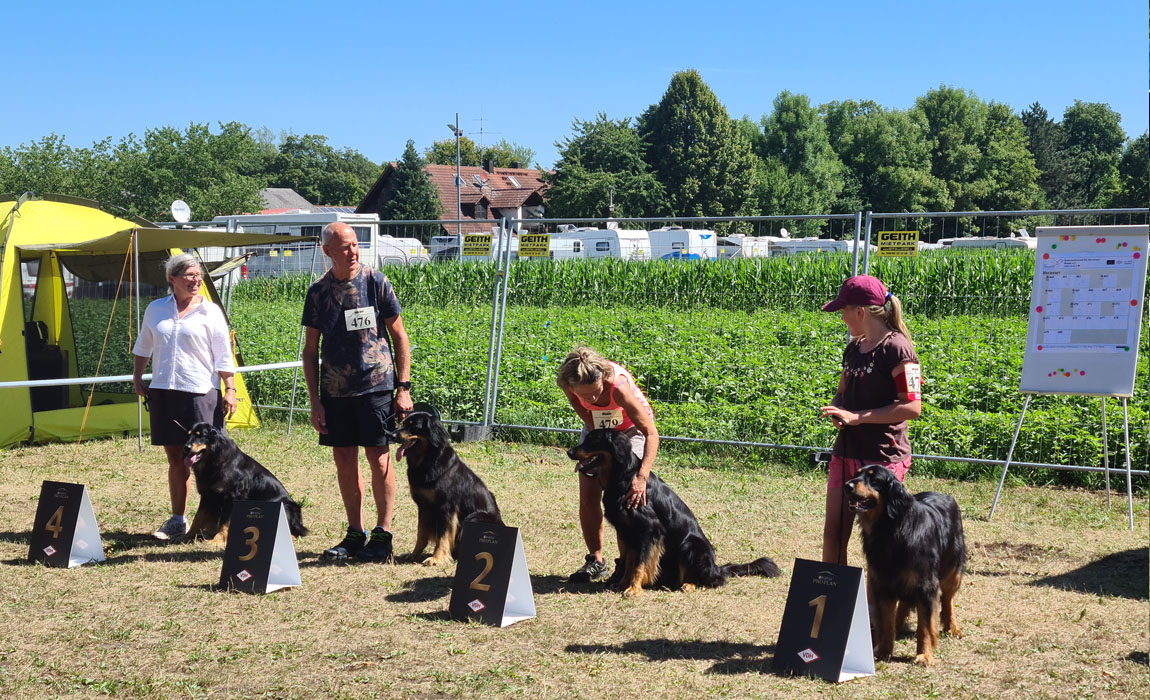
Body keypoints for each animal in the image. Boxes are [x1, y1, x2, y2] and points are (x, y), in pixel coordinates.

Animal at [180, 420, 308, 540]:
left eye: (201, 435)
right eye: (189, 434)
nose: (186, 447)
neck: (214, 459)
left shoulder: (231, 496)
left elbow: (225, 522)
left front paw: (217, 541)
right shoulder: (207, 494)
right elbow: (198, 517)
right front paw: (187, 536)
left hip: (285, 507)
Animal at [391, 411, 503, 565]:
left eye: (413, 426)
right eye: (403, 423)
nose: (391, 435)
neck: (428, 460)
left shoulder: (446, 507)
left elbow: (442, 536)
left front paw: (437, 558)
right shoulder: (423, 506)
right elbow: (421, 534)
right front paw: (413, 555)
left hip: (474, 517)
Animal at [568, 425, 782, 593]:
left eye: (592, 440)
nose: (569, 452)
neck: (623, 476)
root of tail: (718, 567)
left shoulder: (650, 530)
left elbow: (640, 563)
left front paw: (634, 589)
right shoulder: (627, 531)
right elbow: (629, 561)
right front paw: (622, 584)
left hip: (689, 546)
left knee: (713, 580)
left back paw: (690, 584)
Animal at [841, 464, 966, 666]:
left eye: (874, 479)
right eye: (856, 474)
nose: (847, 485)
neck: (891, 530)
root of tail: (946, 496)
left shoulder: (926, 585)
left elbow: (925, 626)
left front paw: (924, 655)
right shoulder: (883, 582)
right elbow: (887, 621)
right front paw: (884, 651)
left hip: (952, 568)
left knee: (947, 599)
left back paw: (951, 627)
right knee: (904, 603)